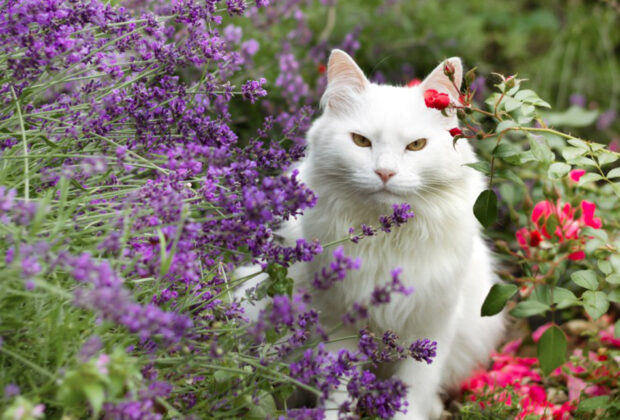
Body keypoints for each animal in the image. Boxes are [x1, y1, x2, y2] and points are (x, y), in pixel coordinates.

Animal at [284, 50, 504, 418]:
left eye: (416, 146)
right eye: (361, 141)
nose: (385, 173)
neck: (386, 238)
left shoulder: (431, 324)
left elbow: (414, 391)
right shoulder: (338, 322)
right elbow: (338, 388)